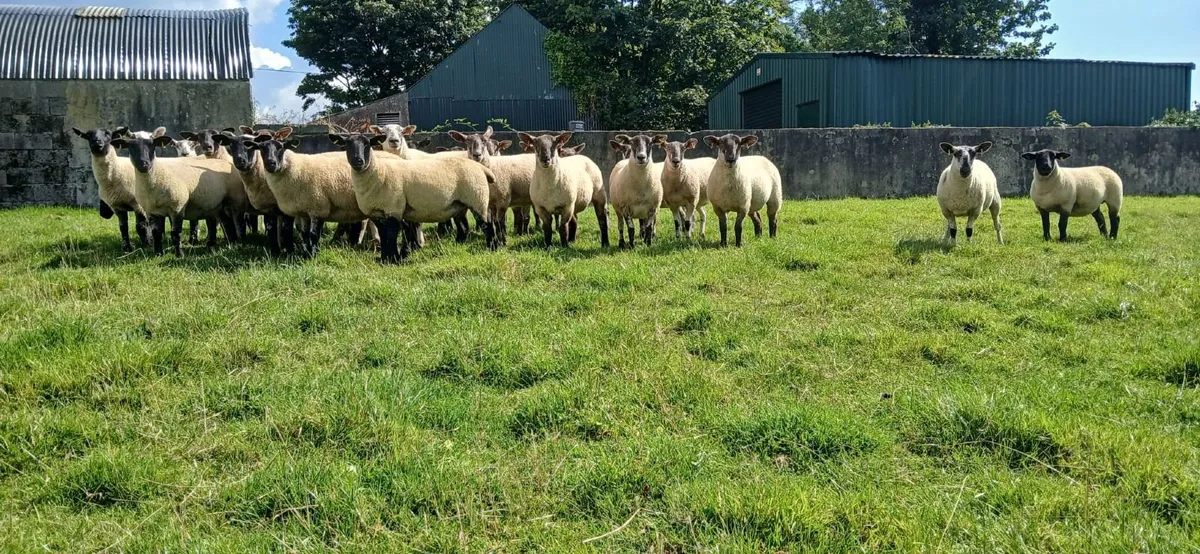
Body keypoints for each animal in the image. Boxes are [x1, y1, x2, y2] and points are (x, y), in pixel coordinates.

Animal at [109, 128, 245, 257]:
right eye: (130, 147)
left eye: (152, 146)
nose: (144, 164)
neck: (156, 176)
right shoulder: (153, 211)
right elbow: (156, 233)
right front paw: (158, 254)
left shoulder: (177, 207)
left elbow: (176, 233)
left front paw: (179, 254)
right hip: (217, 205)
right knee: (226, 222)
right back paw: (228, 243)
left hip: (234, 199)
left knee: (236, 221)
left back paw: (236, 242)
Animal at [246, 127, 377, 258]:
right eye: (261, 149)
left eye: (281, 148)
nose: (271, 163)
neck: (295, 170)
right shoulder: (304, 210)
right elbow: (305, 233)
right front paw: (306, 252)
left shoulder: (318, 208)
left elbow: (313, 234)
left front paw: (312, 256)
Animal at [327, 131, 498, 263]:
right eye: (347, 145)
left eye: (367, 145)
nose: (358, 161)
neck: (380, 172)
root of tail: (480, 167)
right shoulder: (378, 213)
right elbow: (384, 235)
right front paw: (385, 259)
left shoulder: (394, 209)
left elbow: (391, 236)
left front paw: (393, 260)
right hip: (459, 204)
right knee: (464, 226)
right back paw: (460, 244)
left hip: (477, 198)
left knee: (487, 222)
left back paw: (492, 247)